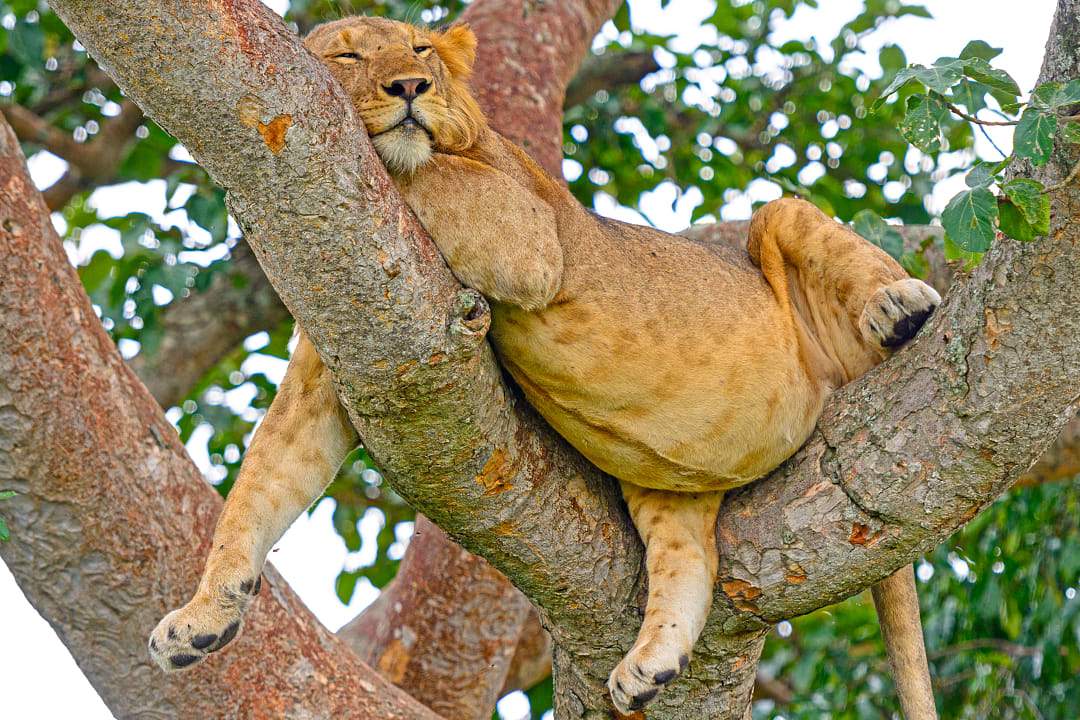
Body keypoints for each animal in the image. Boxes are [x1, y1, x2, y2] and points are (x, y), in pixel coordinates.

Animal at [149, 16, 942, 718]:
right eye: (346, 55)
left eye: (420, 50)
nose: (409, 87)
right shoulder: (340, 355)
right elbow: (262, 482)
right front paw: (201, 616)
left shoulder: (529, 233)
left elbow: (426, 169)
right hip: (664, 474)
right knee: (689, 559)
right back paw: (650, 666)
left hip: (781, 230)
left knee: (815, 235)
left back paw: (901, 306)